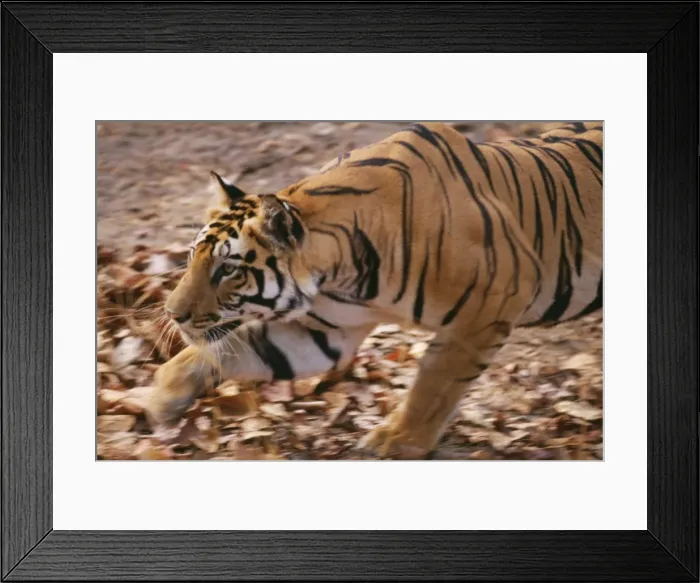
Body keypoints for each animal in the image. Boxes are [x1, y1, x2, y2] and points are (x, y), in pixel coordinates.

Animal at [145, 121, 603, 459]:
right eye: (193, 256)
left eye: (227, 269)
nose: (172, 314)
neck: (340, 275)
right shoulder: (325, 331)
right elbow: (234, 350)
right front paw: (161, 396)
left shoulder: (492, 300)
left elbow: (434, 381)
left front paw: (397, 441)